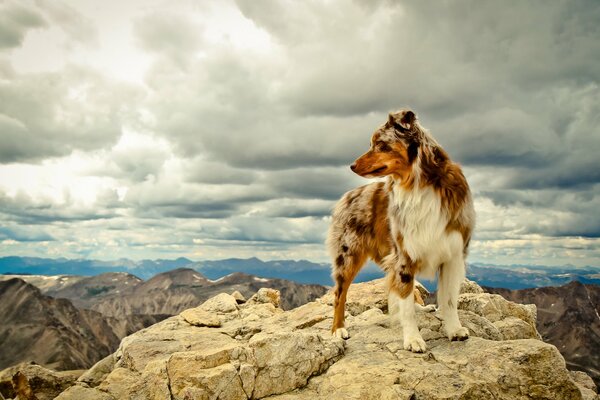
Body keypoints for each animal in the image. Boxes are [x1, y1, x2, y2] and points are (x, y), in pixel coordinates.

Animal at [328, 109, 474, 354]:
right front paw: (413, 339)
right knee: (340, 293)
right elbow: (405, 304)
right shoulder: (404, 255)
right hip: (348, 255)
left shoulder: (452, 254)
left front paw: (454, 329)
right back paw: (338, 329)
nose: (351, 165)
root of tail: (347, 196)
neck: (419, 184)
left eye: (380, 144)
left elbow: (449, 299)